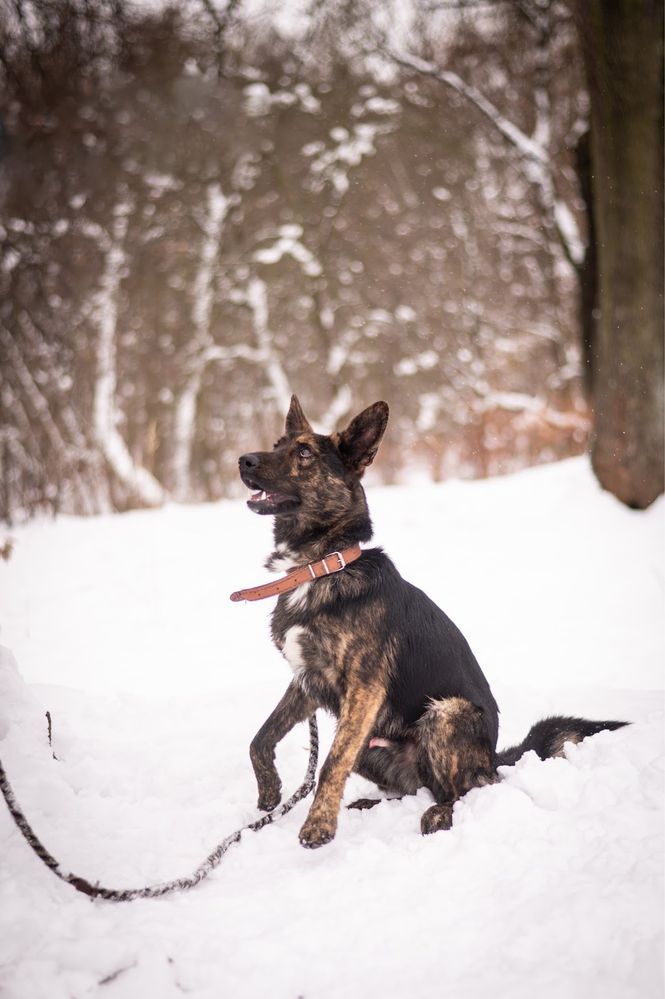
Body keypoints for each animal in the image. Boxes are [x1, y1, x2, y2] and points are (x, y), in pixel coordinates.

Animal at [236, 394, 624, 848]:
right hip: (373, 744)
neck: (321, 566)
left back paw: (438, 814)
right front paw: (270, 793)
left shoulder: (363, 690)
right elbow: (260, 738)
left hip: (444, 714)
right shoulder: (308, 681)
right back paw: (369, 805)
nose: (243, 460)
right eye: (277, 444)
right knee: (413, 788)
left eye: (303, 453)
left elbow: (330, 762)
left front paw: (319, 826)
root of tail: (492, 759)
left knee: (464, 790)